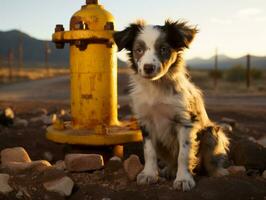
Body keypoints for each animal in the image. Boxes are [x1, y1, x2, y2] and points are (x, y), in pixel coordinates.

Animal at [114, 20, 229, 191]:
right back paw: (169, 169)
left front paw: (183, 179)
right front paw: (149, 174)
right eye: (138, 50)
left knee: (210, 161)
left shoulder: (185, 121)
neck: (157, 87)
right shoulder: (146, 121)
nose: (148, 68)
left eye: (163, 49)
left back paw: (218, 173)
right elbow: (149, 151)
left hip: (210, 133)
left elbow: (183, 154)